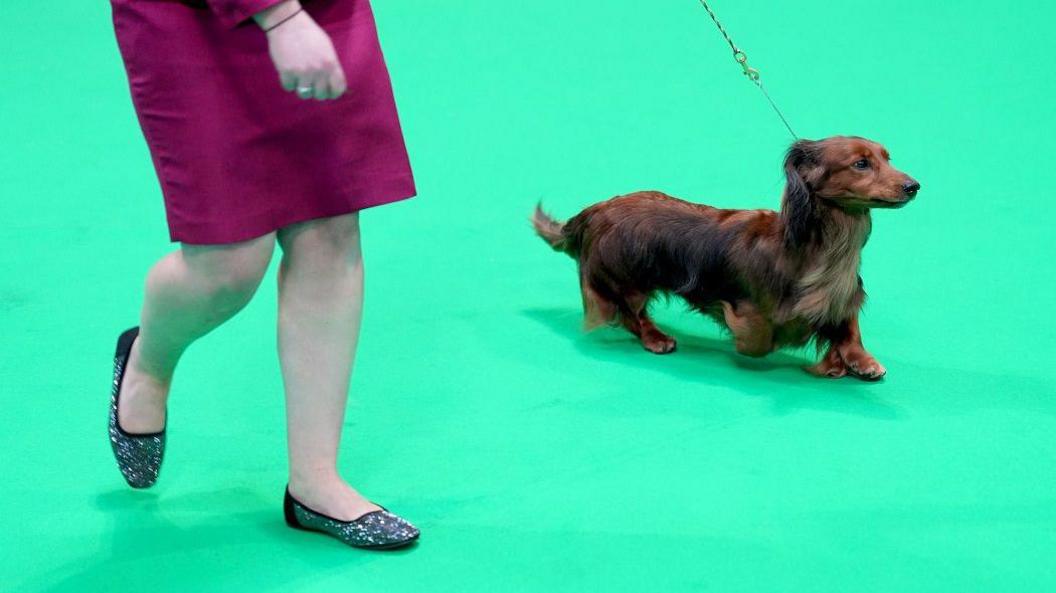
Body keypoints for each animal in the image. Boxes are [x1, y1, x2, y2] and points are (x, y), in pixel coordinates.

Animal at [532, 135, 920, 377]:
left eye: (887, 158)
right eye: (860, 164)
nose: (914, 186)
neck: (825, 246)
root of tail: (593, 211)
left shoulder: (841, 293)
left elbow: (847, 327)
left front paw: (856, 360)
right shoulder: (755, 313)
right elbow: (762, 339)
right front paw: (832, 362)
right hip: (629, 280)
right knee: (631, 315)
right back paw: (656, 338)